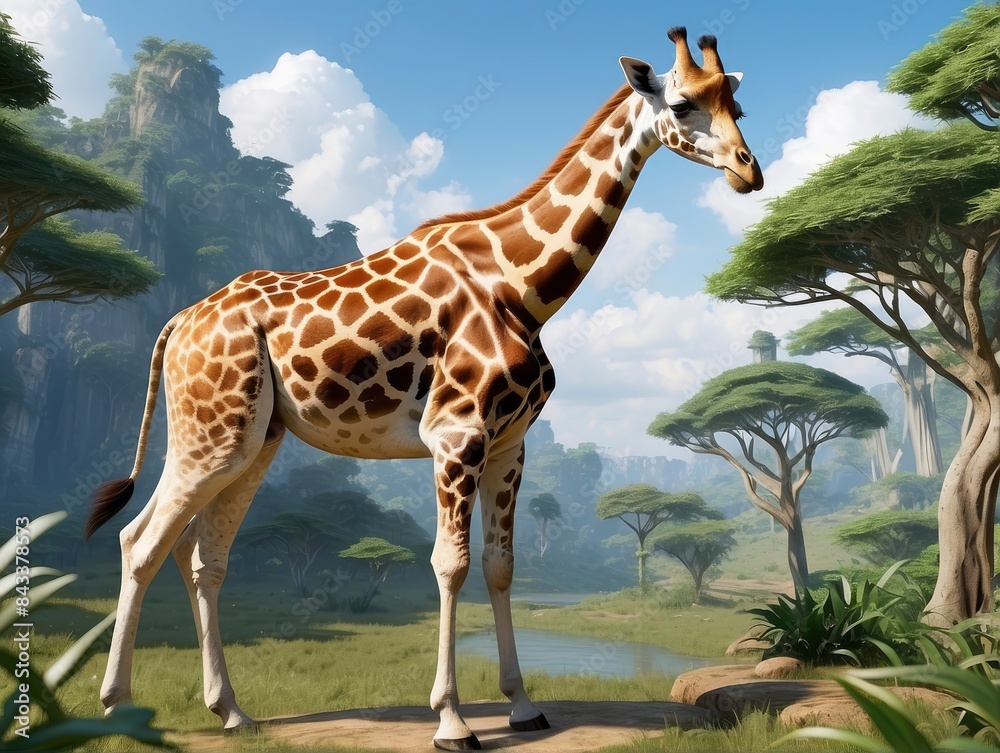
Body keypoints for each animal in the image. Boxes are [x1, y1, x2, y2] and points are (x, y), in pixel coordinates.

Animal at [86, 28, 762, 751]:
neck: (525, 287)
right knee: (141, 541)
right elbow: (450, 563)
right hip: (209, 431)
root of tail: (180, 321)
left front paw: (523, 705)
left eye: (737, 106)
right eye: (685, 103)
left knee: (203, 553)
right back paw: (118, 705)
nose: (750, 171)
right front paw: (452, 720)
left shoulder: (508, 444)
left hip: (253, 439)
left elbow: (500, 565)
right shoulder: (455, 434)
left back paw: (232, 710)